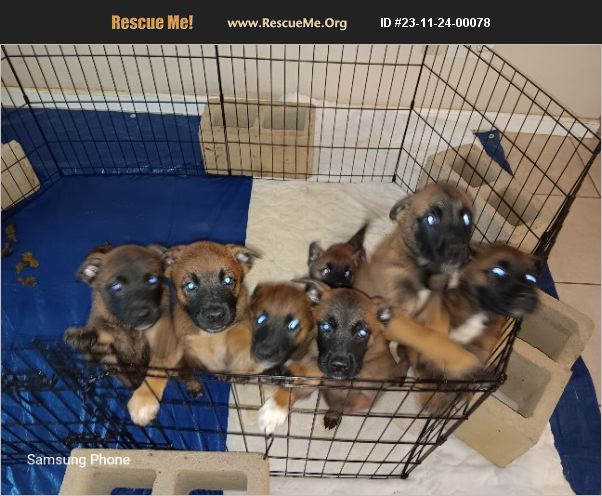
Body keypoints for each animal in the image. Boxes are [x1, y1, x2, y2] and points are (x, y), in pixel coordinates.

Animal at [63, 244, 181, 426]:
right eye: (116, 286)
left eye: (153, 280)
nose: (143, 314)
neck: (131, 331)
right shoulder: (105, 350)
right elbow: (101, 338)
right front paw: (85, 337)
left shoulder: (168, 342)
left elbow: (157, 370)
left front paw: (144, 401)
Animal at [164, 240, 263, 378]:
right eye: (190, 285)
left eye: (228, 280)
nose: (215, 315)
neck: (211, 336)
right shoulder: (187, 343)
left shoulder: (242, 320)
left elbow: (239, 333)